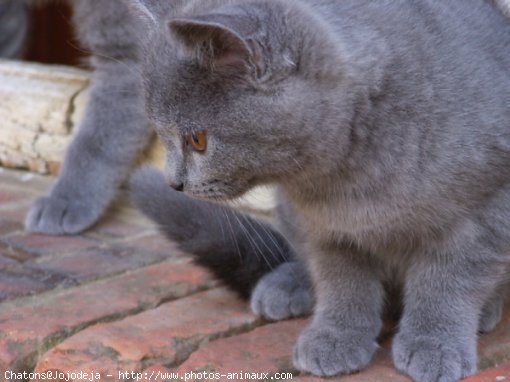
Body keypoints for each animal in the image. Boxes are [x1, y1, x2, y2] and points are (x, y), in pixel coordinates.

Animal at [124, 0, 510, 382]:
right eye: (161, 134)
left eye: (198, 140)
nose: (174, 182)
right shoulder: (326, 228)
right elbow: (341, 280)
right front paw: (336, 337)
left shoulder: (487, 210)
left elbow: (448, 281)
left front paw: (435, 343)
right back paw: (287, 285)